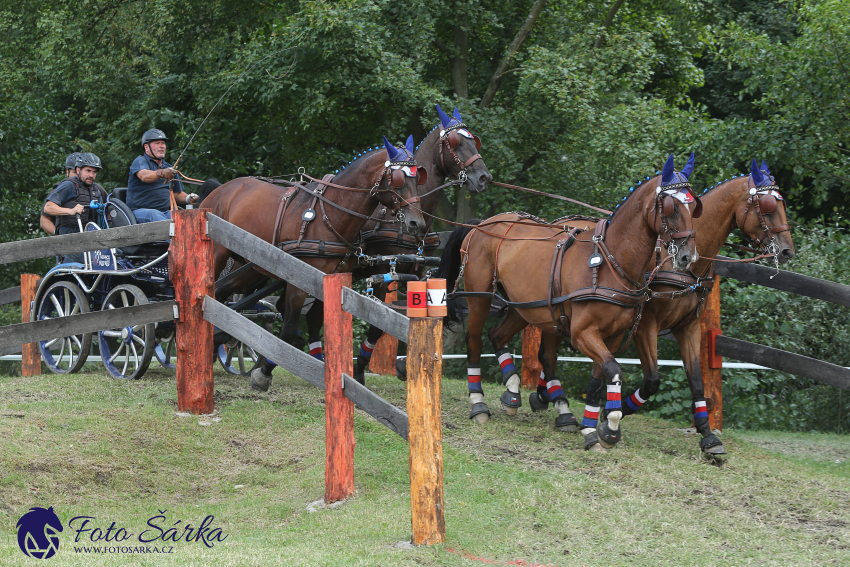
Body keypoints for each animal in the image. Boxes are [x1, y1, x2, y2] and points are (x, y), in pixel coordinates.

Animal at [196, 134, 428, 392]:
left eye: (418, 177)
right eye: (397, 179)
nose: (417, 224)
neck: (331, 215)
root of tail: (222, 189)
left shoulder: (330, 278)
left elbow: (317, 320)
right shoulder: (298, 280)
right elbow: (288, 329)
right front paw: (263, 373)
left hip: (251, 268)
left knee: (222, 293)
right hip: (218, 255)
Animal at [438, 153, 696, 450]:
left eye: (694, 206)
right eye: (671, 206)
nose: (689, 257)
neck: (610, 262)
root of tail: (481, 225)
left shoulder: (611, 336)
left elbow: (599, 378)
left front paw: (596, 428)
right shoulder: (582, 333)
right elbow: (614, 370)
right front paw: (606, 425)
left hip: (527, 307)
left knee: (500, 336)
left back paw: (518, 394)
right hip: (480, 298)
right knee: (475, 342)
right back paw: (478, 403)